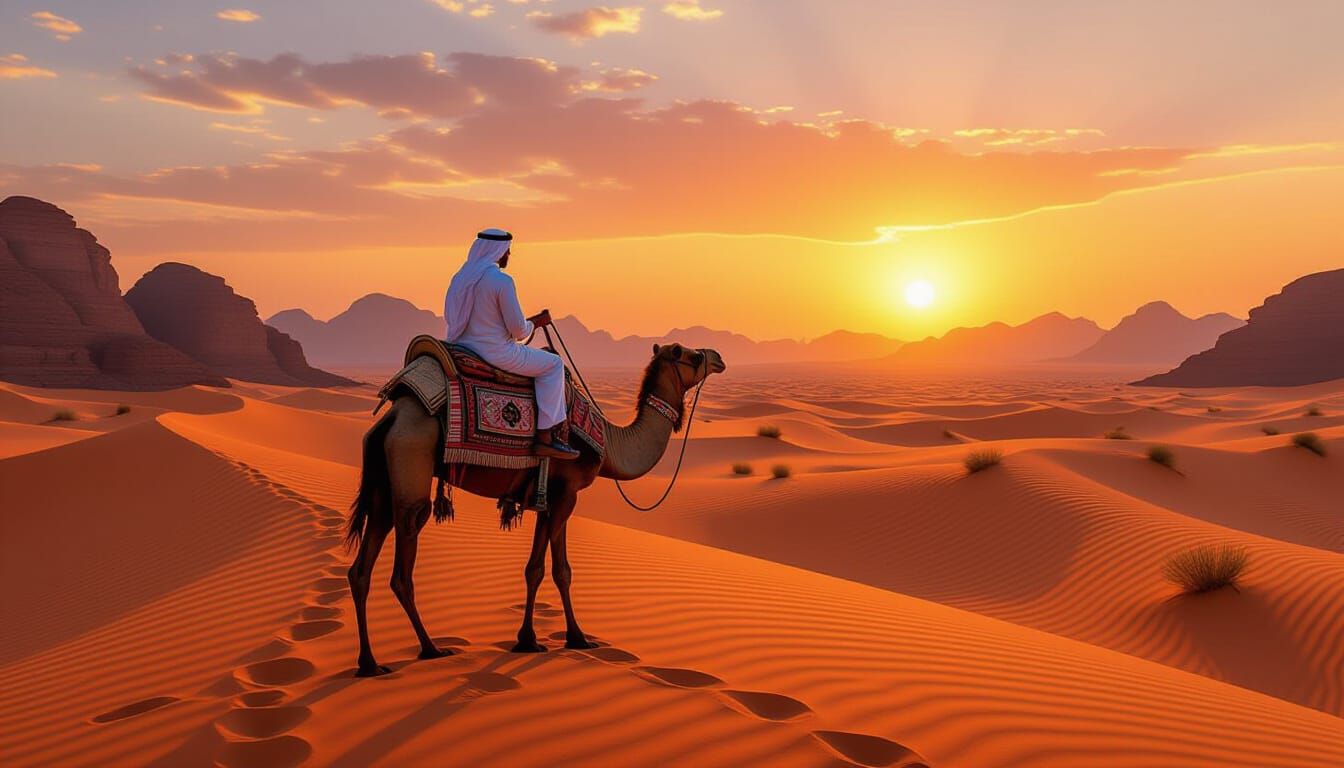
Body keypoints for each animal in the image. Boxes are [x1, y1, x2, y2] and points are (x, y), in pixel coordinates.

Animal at [345, 342, 726, 676]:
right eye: (691, 355)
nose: (718, 357)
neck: (609, 441)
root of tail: (391, 418)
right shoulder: (566, 494)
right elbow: (549, 569)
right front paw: (554, 639)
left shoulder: (554, 497)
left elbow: (548, 570)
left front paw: (551, 638)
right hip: (412, 463)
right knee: (403, 562)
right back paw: (430, 648)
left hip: (383, 484)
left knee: (362, 566)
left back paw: (369, 663)